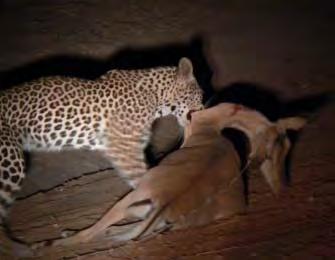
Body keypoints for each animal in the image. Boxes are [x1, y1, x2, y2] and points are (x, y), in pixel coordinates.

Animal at [0, 57, 205, 256]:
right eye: (201, 95)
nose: (204, 108)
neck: (156, 97)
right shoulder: (125, 149)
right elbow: (146, 185)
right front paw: (151, 214)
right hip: (10, 163)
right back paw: (23, 250)